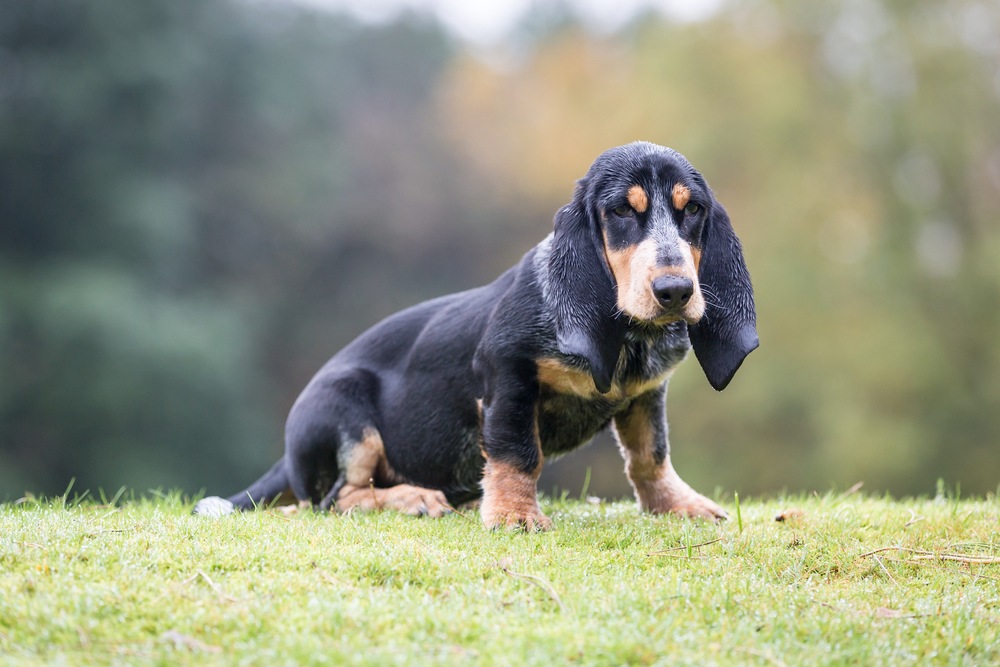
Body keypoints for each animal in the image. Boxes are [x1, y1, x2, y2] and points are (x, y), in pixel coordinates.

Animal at [197, 144, 756, 528]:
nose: (675, 290)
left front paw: (679, 505)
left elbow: (650, 456)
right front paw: (514, 516)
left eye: (692, 210)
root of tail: (286, 456)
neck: (627, 336)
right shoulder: (508, 373)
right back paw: (414, 498)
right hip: (346, 411)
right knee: (335, 499)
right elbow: (517, 451)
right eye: (621, 211)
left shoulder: (646, 394)